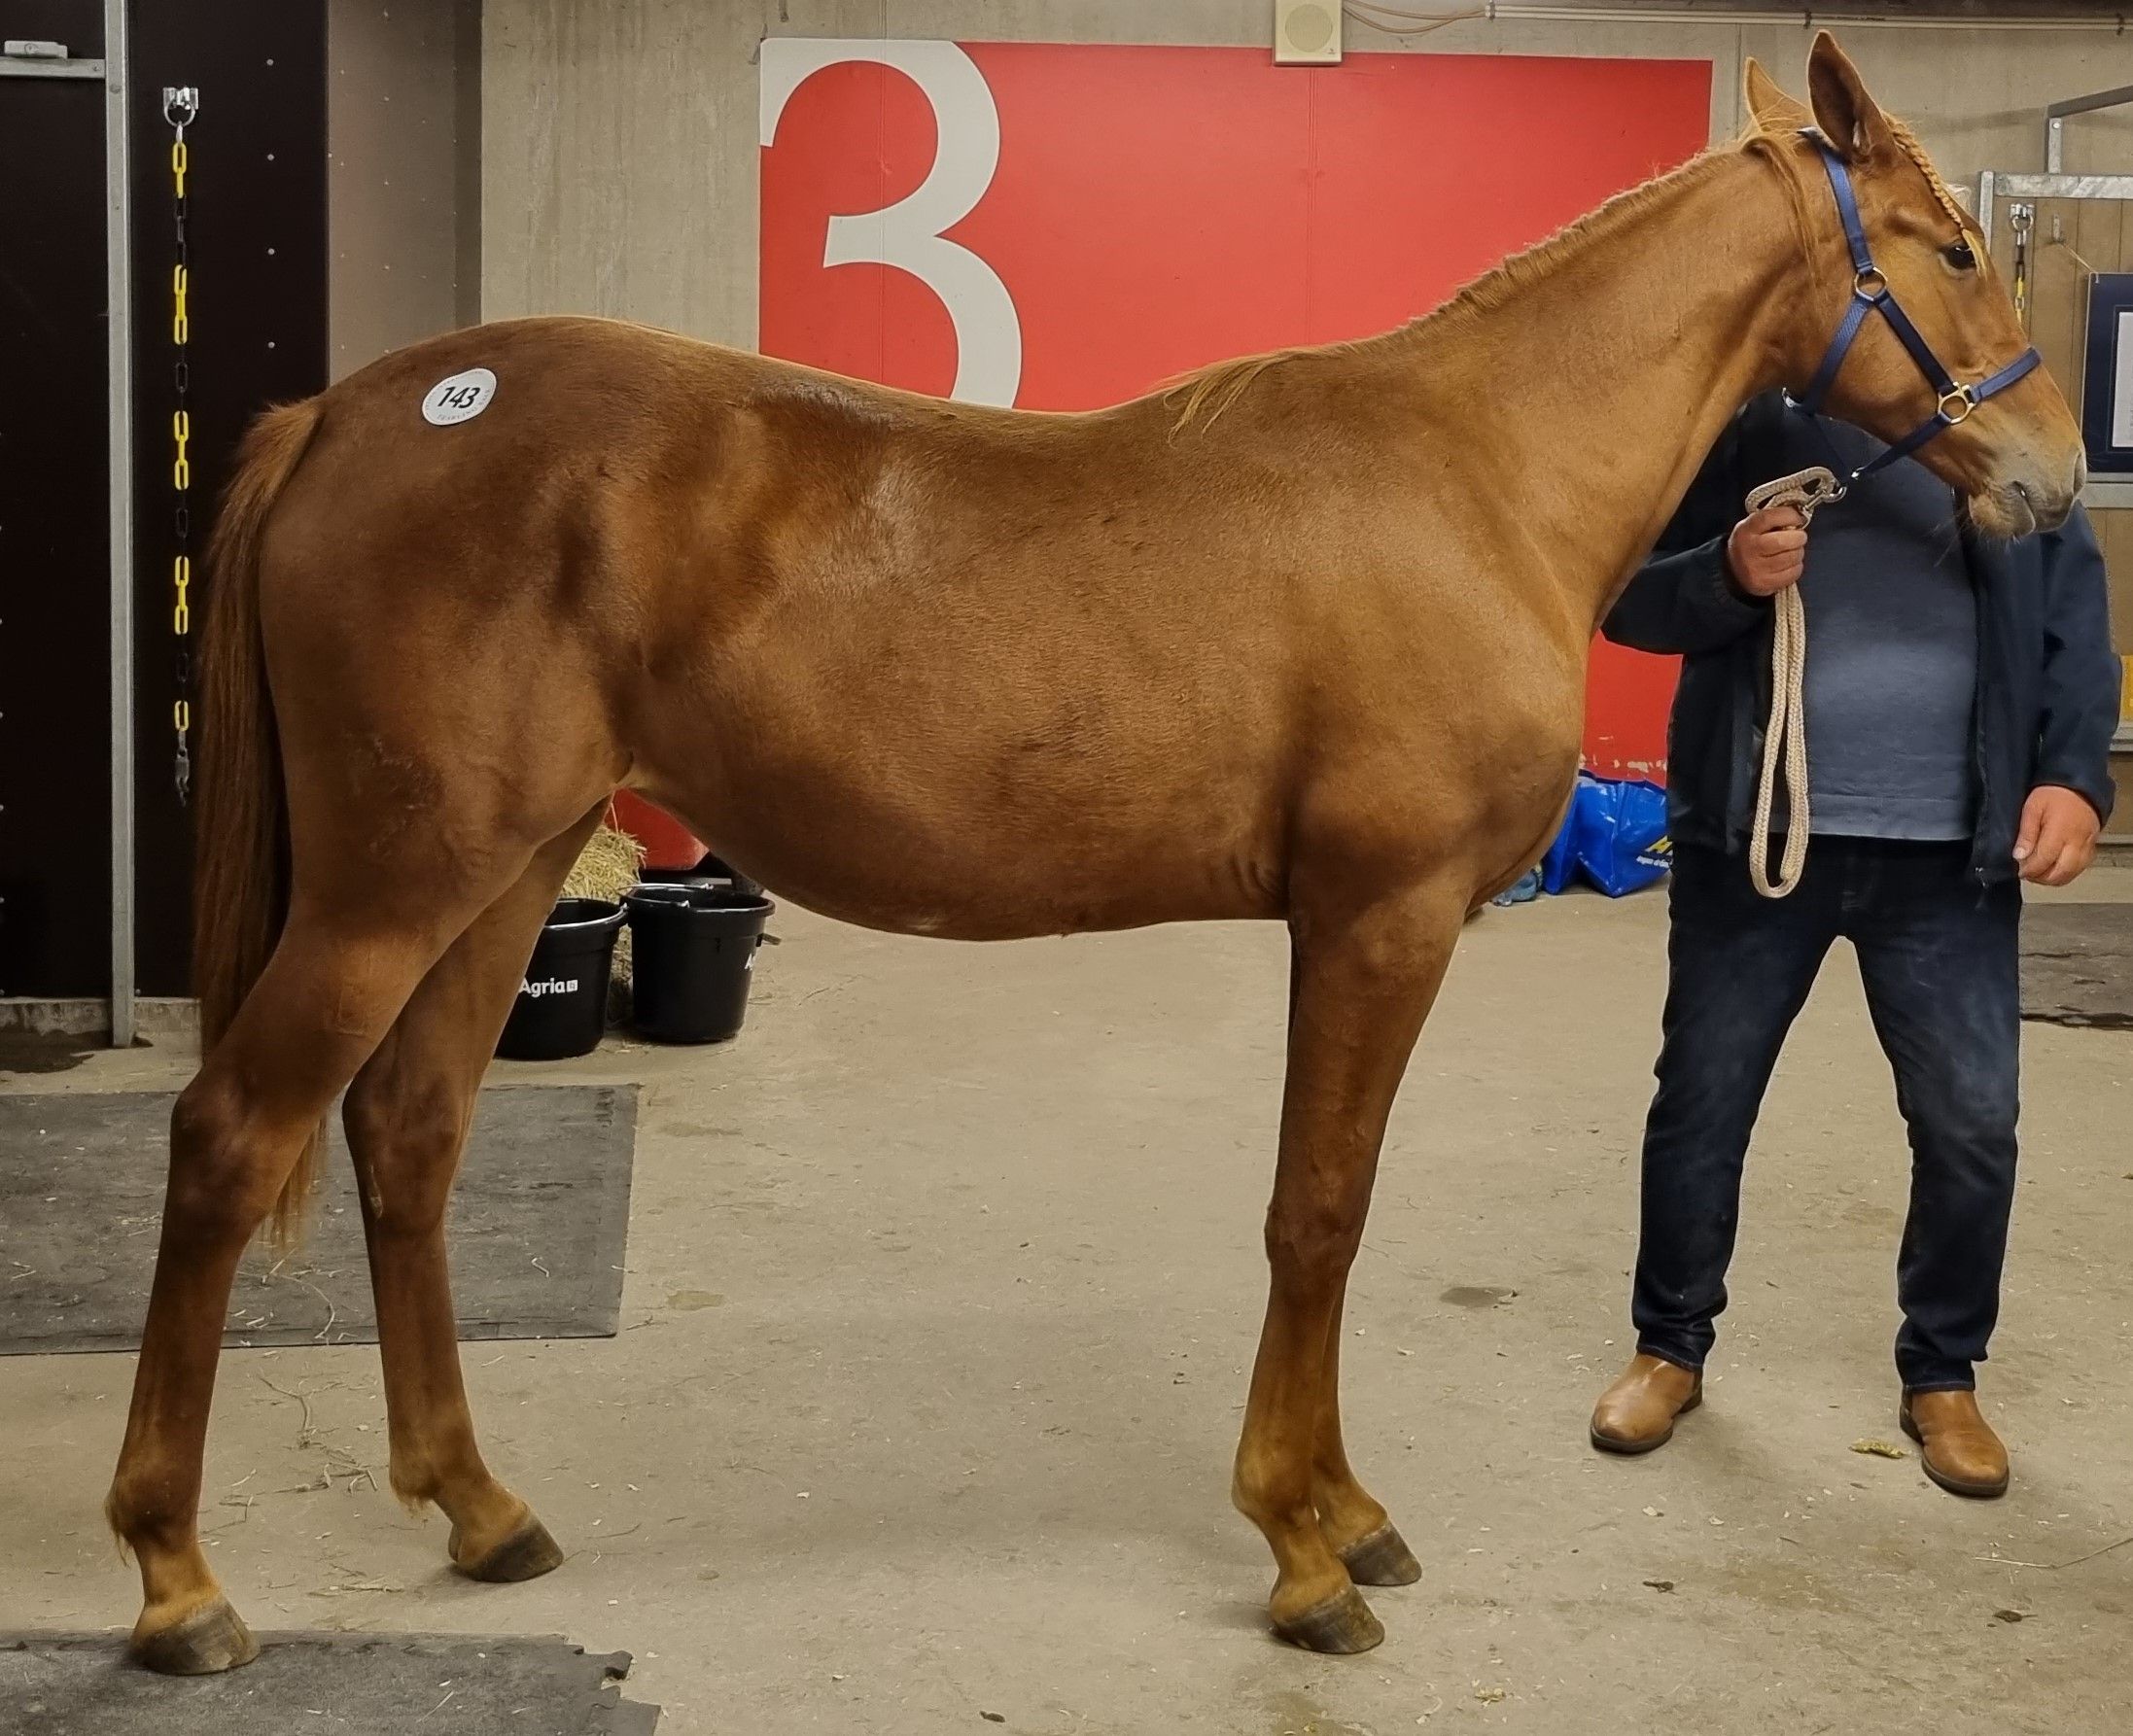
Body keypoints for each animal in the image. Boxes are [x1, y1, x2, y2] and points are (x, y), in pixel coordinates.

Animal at [105, 35, 2082, 1673]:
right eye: (1948, 247)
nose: (2057, 476)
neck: (1477, 478)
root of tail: (351, 412)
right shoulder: (1376, 918)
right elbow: (1316, 1211)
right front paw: (1304, 1548)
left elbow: (1327, 1210)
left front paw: (1344, 1513)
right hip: (393, 886)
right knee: (229, 1139)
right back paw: (178, 1581)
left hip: (503, 869)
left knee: (407, 1137)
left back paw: (479, 1507)